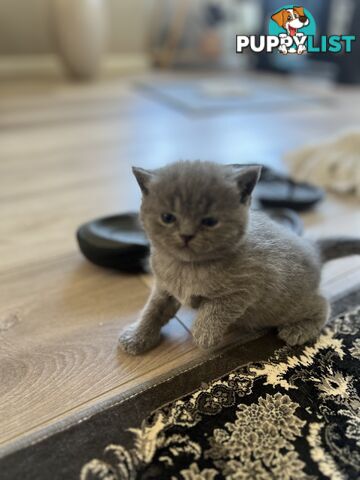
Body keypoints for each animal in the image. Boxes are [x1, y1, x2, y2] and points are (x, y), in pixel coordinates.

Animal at [119, 159, 360, 354]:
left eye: (209, 221)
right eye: (168, 217)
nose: (186, 235)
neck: (187, 266)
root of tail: (312, 247)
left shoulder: (247, 287)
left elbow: (217, 307)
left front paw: (203, 333)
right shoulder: (164, 287)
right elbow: (152, 310)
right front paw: (137, 336)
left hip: (286, 303)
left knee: (323, 304)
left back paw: (300, 328)